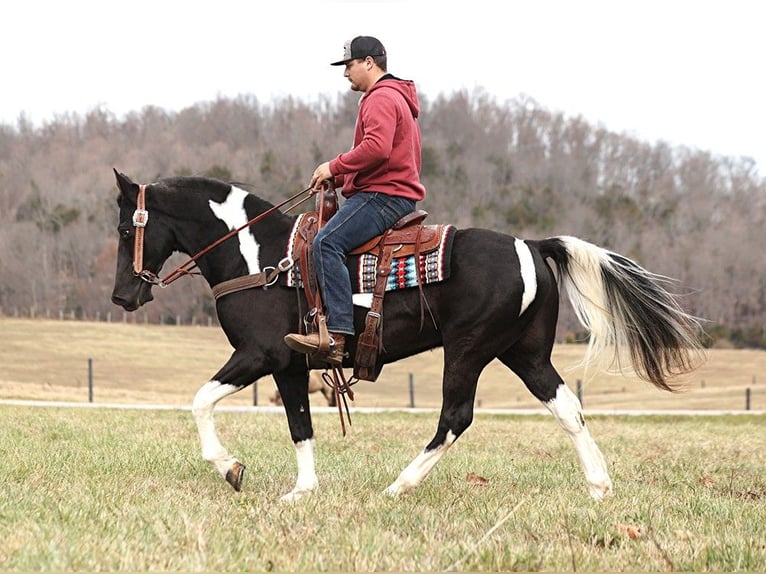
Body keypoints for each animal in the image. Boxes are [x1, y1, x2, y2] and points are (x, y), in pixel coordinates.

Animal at [109, 169, 708, 502]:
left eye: (122, 227)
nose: (123, 296)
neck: (260, 255)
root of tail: (532, 245)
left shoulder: (262, 354)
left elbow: (201, 400)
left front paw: (231, 468)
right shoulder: (291, 366)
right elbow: (300, 426)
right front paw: (302, 491)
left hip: (468, 351)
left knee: (455, 417)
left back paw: (399, 485)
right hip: (526, 354)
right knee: (567, 408)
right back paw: (599, 486)